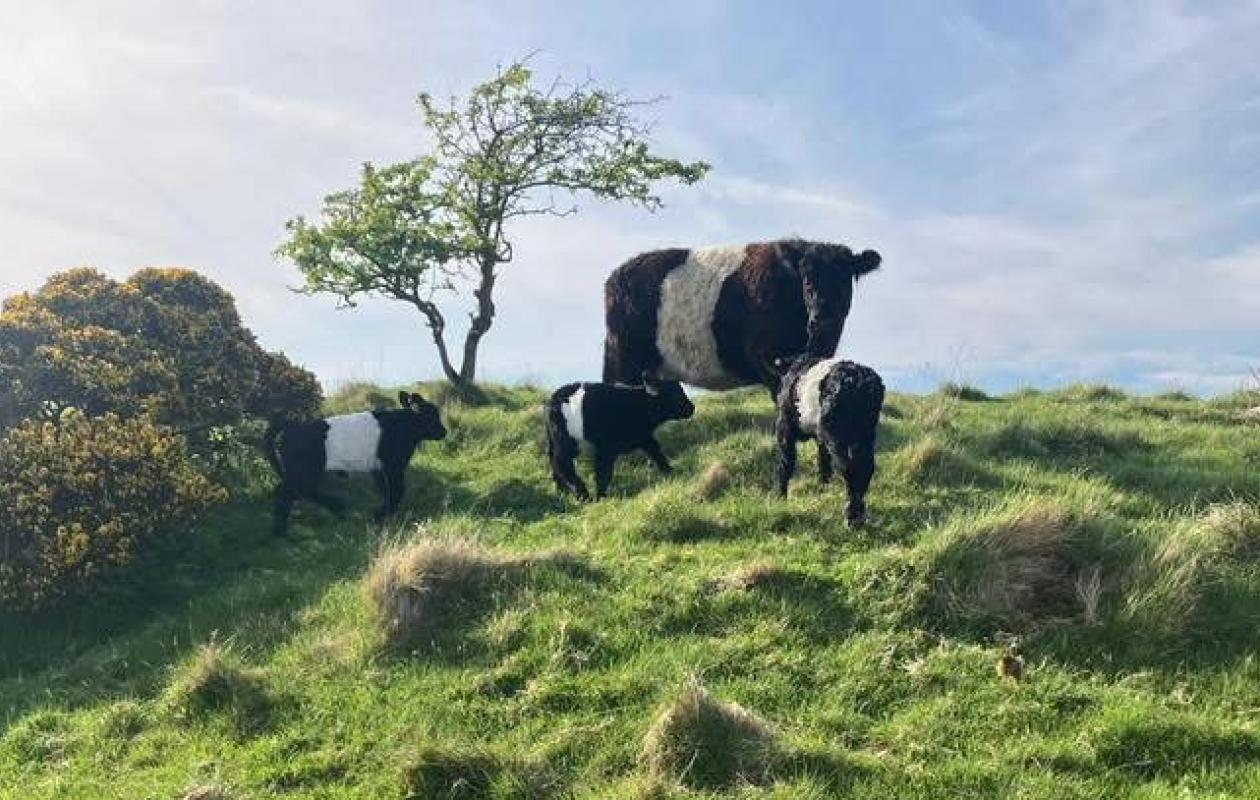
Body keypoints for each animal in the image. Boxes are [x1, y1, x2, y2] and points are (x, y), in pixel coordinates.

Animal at [263, 391, 446, 535]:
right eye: (431, 415)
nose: (443, 431)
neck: (403, 424)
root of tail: (292, 426)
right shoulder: (393, 466)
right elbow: (398, 489)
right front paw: (380, 514)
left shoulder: (378, 468)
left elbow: (385, 490)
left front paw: (385, 514)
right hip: (304, 470)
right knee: (289, 492)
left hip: (299, 471)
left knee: (292, 492)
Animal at [545, 376, 695, 500]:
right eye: (676, 394)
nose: (691, 408)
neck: (640, 405)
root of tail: (554, 399)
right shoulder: (606, 448)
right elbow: (603, 473)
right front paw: (601, 497)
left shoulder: (643, 437)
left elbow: (657, 453)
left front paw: (671, 472)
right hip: (566, 442)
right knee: (562, 463)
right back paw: (583, 495)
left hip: (554, 440)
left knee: (553, 462)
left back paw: (562, 492)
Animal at [602, 239, 881, 396]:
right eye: (807, 279)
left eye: (845, 277)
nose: (824, 314)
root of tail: (617, 274)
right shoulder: (759, 354)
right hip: (624, 362)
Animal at [774, 355, 884, 527]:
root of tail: (859, 381)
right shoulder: (821, 439)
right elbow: (823, 462)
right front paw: (823, 487)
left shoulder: (784, 427)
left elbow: (786, 464)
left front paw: (781, 498)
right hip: (864, 434)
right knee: (866, 467)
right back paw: (858, 513)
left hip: (837, 434)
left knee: (848, 467)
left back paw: (851, 515)